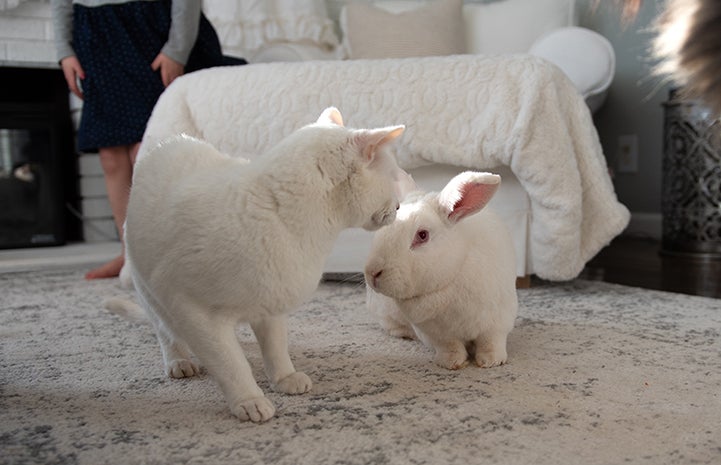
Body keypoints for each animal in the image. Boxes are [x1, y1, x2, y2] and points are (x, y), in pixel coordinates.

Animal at [106, 107, 406, 422]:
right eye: (392, 179)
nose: (399, 207)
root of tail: (168, 144)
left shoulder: (271, 306)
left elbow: (275, 348)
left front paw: (284, 378)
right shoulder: (193, 311)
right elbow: (230, 363)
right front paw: (250, 400)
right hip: (148, 290)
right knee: (165, 329)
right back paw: (179, 360)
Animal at [364, 171, 518, 370]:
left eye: (422, 235)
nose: (372, 273)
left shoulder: (497, 321)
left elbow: (491, 342)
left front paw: (491, 361)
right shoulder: (437, 334)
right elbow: (451, 346)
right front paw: (451, 363)